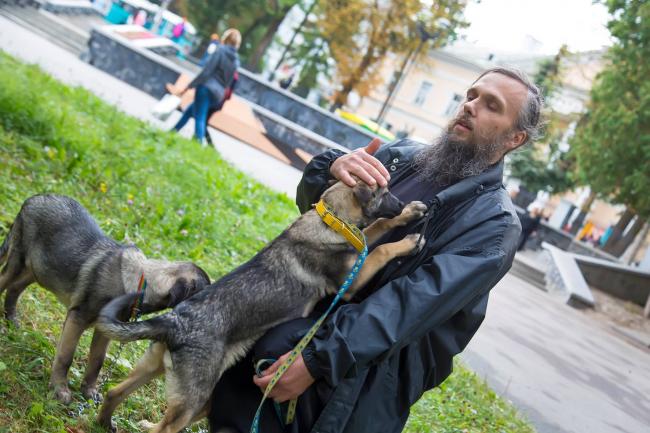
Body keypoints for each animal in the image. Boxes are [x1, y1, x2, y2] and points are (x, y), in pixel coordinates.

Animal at [0, 194, 210, 404]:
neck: (140, 282)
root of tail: (33, 199)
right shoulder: (77, 319)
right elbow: (65, 356)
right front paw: (60, 389)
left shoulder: (104, 330)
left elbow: (97, 361)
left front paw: (89, 391)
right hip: (18, 262)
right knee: (5, 281)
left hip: (38, 270)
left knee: (14, 289)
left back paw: (12, 320)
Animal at [96, 180, 428, 433]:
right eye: (384, 191)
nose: (402, 202)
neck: (330, 219)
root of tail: (174, 322)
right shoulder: (352, 279)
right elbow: (380, 248)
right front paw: (408, 242)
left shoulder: (358, 249)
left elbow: (377, 228)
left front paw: (409, 214)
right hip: (192, 397)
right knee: (164, 428)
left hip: (154, 367)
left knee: (114, 393)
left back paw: (107, 422)